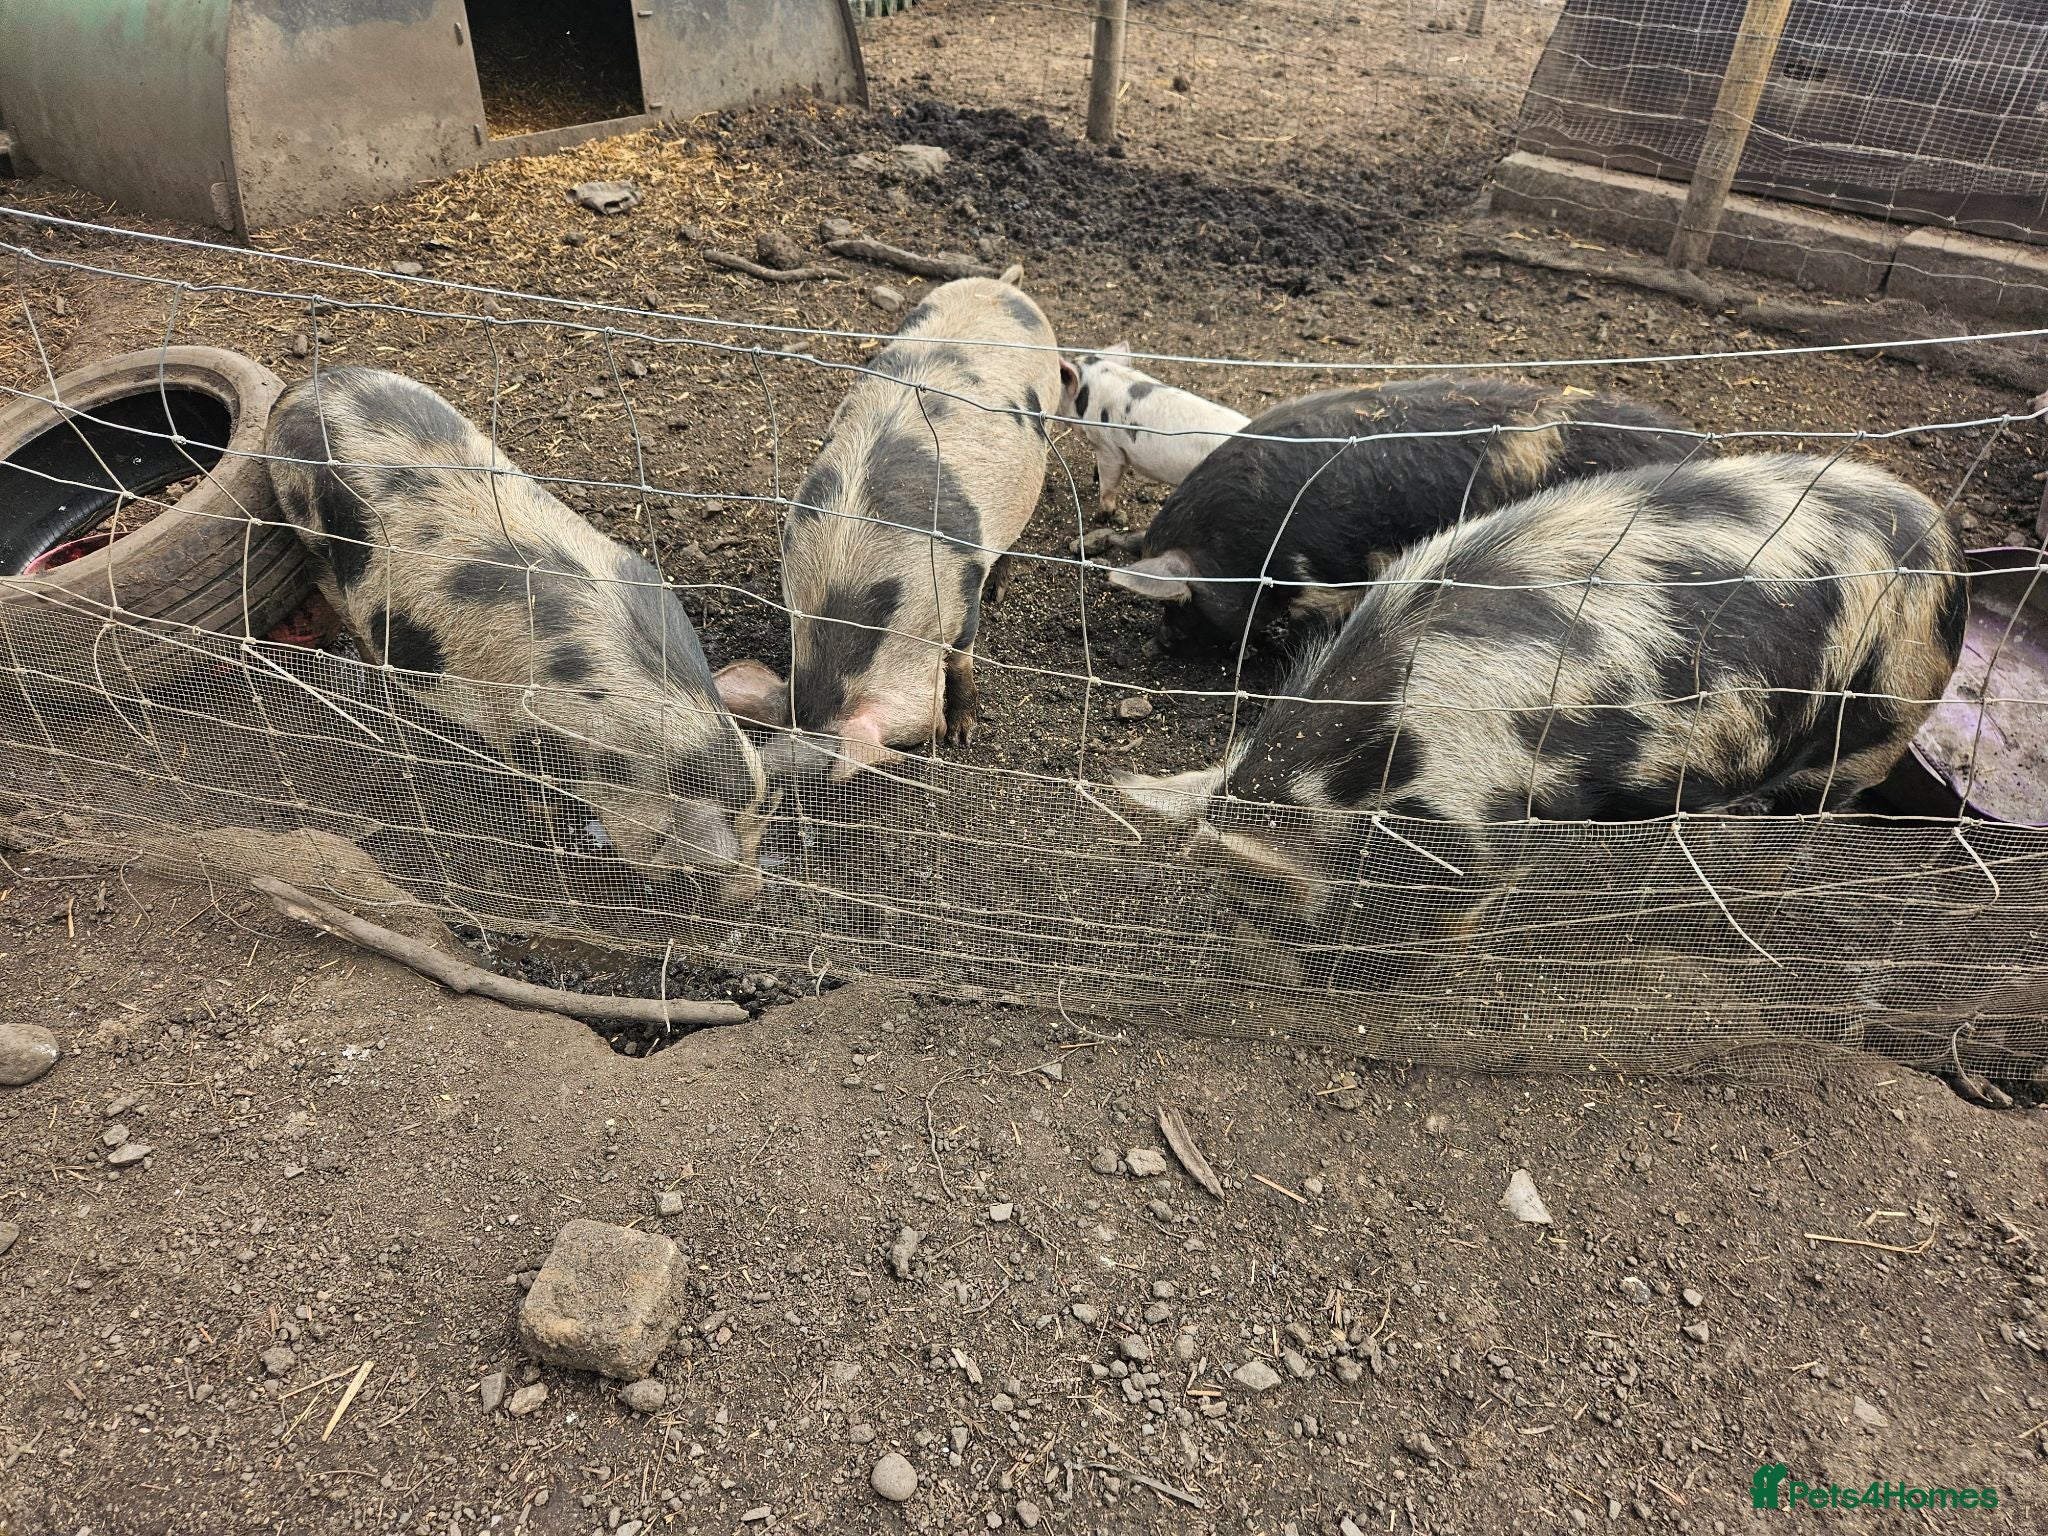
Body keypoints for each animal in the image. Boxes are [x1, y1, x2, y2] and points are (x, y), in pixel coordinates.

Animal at [264, 366, 774, 907]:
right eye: (708, 866)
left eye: (761, 830)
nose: (750, 894)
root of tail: (302, 388)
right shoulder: (524, 728)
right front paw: (546, 823)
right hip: (307, 526)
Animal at [1115, 454, 1966, 978]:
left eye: (1260, 907)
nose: (1273, 975)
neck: (1380, 767)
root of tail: (1944, 536)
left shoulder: (1509, 817)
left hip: (1877, 726)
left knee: (1807, 822)